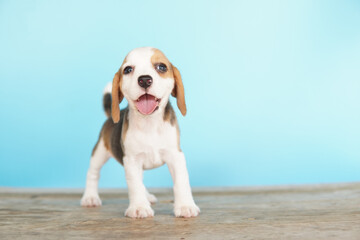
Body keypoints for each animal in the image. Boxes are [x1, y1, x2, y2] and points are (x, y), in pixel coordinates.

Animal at [80, 46, 201, 218]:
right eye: (128, 70)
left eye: (161, 67)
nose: (144, 80)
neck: (149, 124)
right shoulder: (132, 160)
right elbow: (135, 185)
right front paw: (139, 207)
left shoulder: (175, 156)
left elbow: (181, 182)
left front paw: (185, 206)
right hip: (100, 152)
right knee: (93, 174)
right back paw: (90, 197)